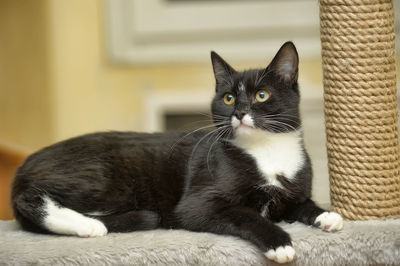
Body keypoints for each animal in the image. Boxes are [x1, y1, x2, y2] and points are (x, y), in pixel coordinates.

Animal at [12, 41, 344, 264]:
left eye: (261, 95)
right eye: (228, 98)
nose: (239, 113)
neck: (266, 150)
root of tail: (25, 165)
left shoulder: (292, 193)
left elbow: (301, 205)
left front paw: (326, 215)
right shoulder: (198, 203)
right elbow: (246, 214)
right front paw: (279, 242)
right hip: (104, 178)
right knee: (28, 199)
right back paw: (87, 224)